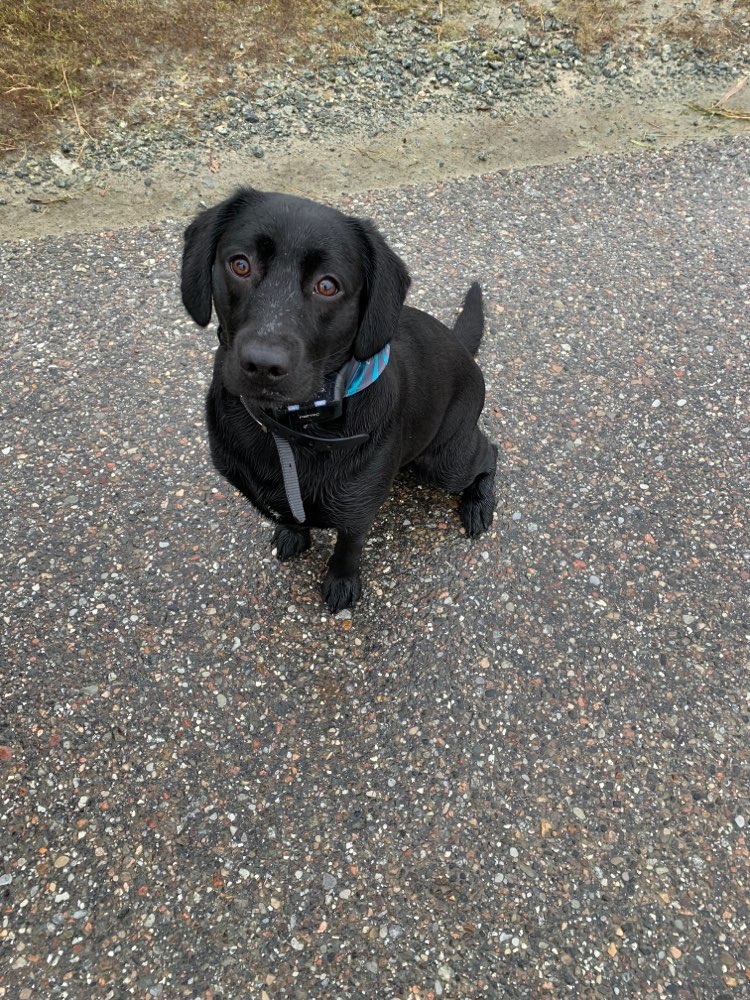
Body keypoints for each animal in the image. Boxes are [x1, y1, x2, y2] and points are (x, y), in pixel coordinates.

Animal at [182, 187, 500, 608]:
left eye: (328, 285)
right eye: (240, 264)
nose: (263, 364)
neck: (288, 428)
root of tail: (462, 347)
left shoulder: (356, 513)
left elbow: (348, 547)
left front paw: (342, 581)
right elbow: (291, 517)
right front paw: (294, 533)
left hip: (446, 462)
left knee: (489, 453)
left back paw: (478, 504)